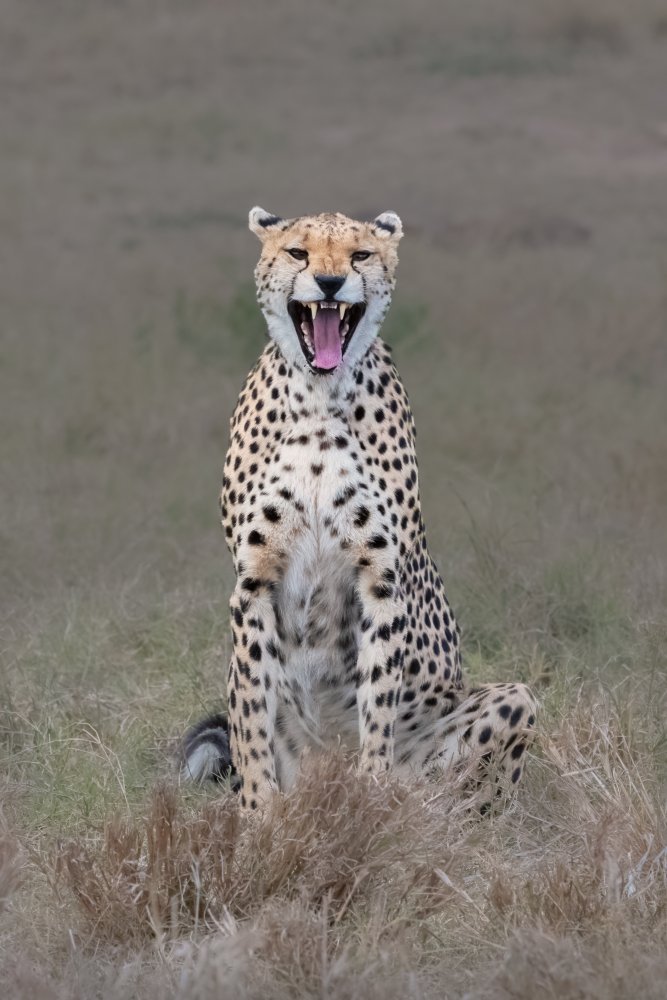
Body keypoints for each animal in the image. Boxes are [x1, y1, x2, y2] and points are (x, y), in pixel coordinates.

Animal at [181, 206, 537, 811]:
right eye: (298, 252)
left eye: (361, 255)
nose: (329, 283)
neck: (320, 398)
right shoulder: (253, 579)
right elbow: (251, 717)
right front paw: (258, 814)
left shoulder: (380, 576)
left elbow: (378, 703)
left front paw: (370, 799)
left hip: (513, 702)